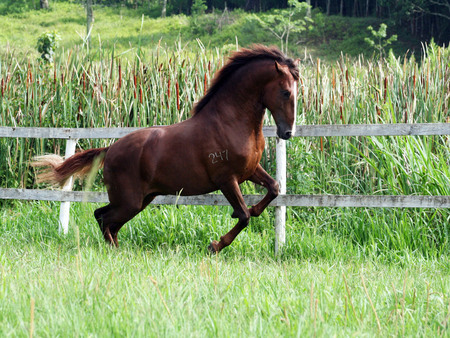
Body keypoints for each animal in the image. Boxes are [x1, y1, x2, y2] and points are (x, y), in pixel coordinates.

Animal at [32, 45, 298, 254]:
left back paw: (117, 250)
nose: (287, 133)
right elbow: (243, 216)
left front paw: (255, 209)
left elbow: (274, 188)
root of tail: (111, 148)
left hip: (141, 200)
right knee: (104, 217)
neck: (230, 121)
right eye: (286, 92)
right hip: (129, 200)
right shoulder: (226, 179)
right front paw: (214, 245)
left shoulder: (250, 170)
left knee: (105, 218)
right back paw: (115, 252)